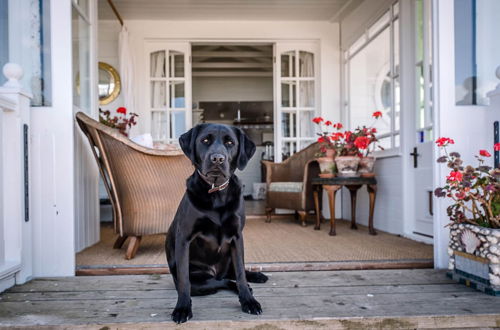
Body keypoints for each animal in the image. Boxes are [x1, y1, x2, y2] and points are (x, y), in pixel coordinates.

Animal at [167, 122, 270, 324]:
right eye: (205, 140)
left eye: (230, 143)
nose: (217, 159)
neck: (216, 192)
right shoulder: (184, 238)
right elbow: (184, 281)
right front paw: (182, 308)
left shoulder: (237, 237)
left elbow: (240, 273)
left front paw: (249, 301)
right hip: (201, 281)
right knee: (220, 281)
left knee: (234, 273)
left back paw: (255, 276)